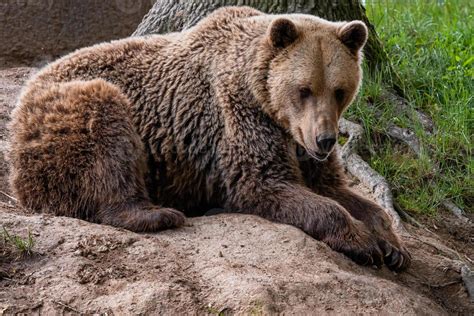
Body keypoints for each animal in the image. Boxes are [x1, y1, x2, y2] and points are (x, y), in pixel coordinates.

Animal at [6, 6, 408, 270]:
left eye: (339, 90)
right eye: (304, 89)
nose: (325, 139)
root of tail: (23, 96)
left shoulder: (301, 146)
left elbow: (337, 188)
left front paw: (392, 245)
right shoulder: (239, 119)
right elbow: (263, 184)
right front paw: (362, 241)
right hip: (66, 114)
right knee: (105, 130)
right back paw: (157, 213)